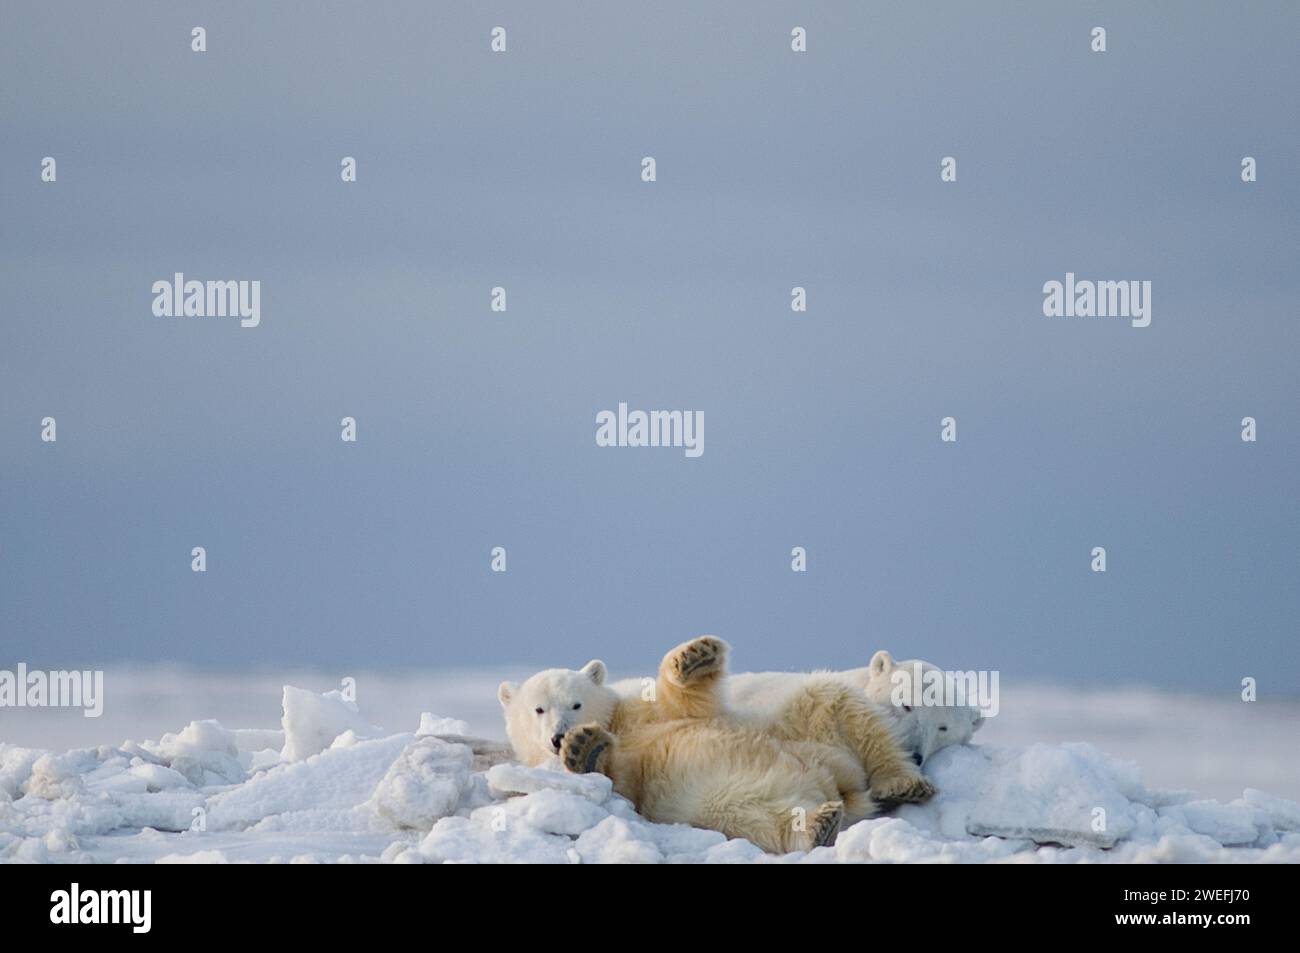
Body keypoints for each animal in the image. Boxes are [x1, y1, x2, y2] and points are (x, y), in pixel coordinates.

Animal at [496, 634, 935, 852]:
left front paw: (696, 655)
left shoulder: (640, 709)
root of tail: (839, 785)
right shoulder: (635, 780)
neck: (616, 721)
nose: (559, 737)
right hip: (719, 796)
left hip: (807, 730)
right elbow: (619, 775)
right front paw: (585, 748)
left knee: (841, 704)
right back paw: (818, 825)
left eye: (576, 702)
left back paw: (902, 782)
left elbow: (684, 704)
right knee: (747, 813)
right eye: (538, 709)